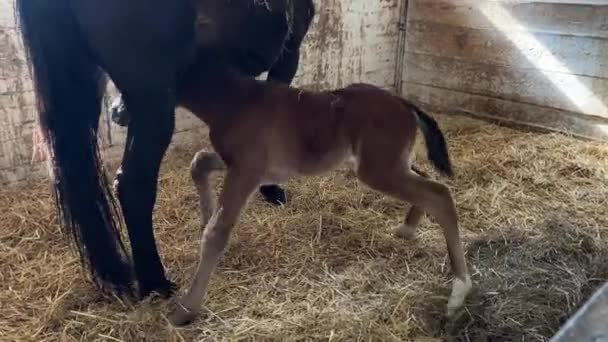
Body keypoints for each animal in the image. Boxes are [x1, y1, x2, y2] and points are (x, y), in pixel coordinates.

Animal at [167, 51, 476, 326]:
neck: (236, 102)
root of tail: (406, 104)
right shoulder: (242, 165)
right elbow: (199, 163)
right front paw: (204, 217)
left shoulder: (247, 170)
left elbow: (216, 233)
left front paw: (185, 310)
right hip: (393, 164)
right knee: (426, 181)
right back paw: (408, 228)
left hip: (378, 170)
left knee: (440, 195)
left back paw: (458, 292)